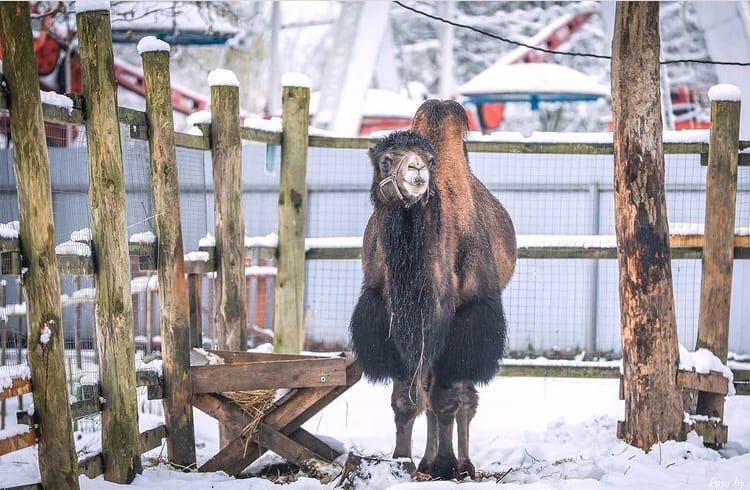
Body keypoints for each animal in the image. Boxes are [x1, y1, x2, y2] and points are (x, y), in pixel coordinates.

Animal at [352, 99, 516, 478]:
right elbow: (407, 399)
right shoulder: (390, 319)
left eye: (427, 160)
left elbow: (446, 400)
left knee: (464, 399)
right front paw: (402, 461)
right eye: (386, 160)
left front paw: (446, 464)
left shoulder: (469, 320)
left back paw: (462, 463)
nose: (416, 171)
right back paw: (427, 459)